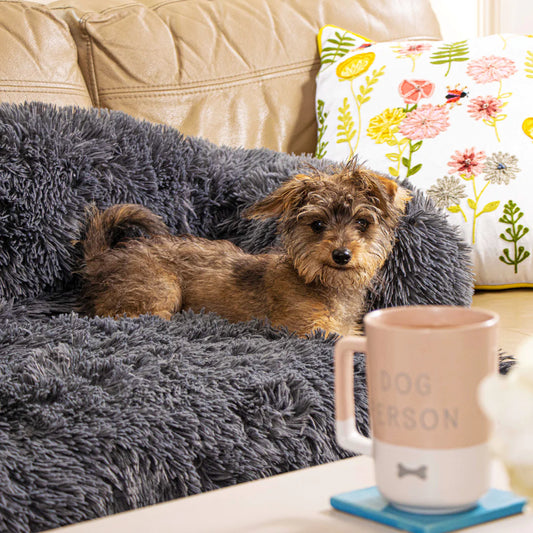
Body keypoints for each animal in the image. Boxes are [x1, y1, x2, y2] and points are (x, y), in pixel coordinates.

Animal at [79, 162, 410, 336]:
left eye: (363, 222)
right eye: (317, 224)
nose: (341, 255)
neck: (325, 286)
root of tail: (102, 258)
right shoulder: (307, 327)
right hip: (162, 288)